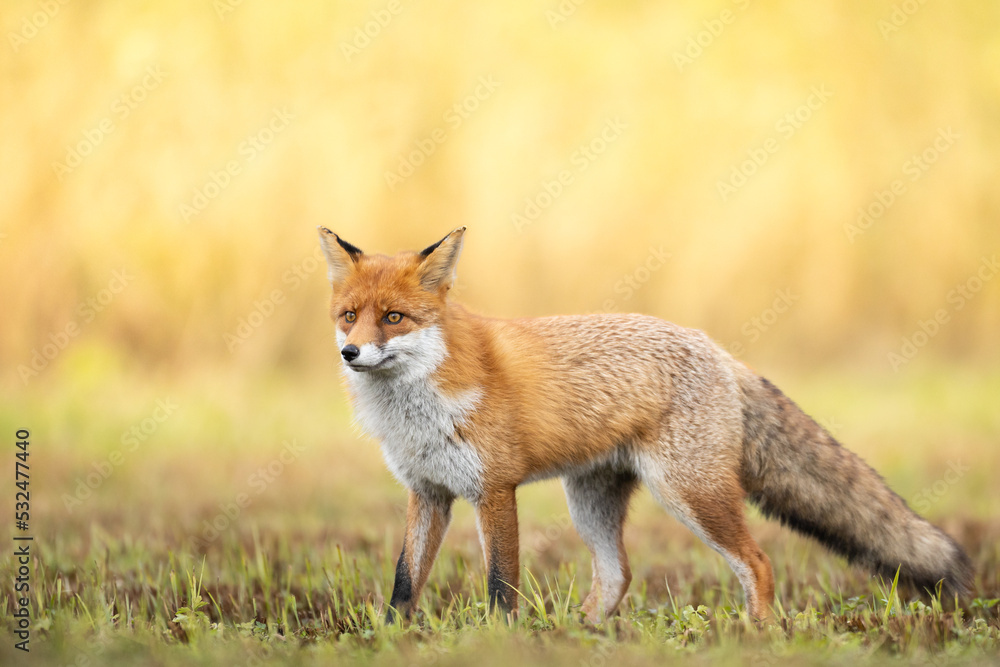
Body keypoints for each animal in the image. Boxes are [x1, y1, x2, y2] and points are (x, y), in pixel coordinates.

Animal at [318, 227, 968, 624]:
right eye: (349, 316)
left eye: (394, 319)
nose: (349, 354)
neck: (417, 407)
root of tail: (719, 351)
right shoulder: (427, 492)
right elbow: (405, 582)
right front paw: (397, 639)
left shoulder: (493, 490)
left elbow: (501, 585)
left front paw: (500, 639)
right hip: (591, 500)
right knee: (619, 574)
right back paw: (578, 636)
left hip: (690, 493)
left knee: (756, 562)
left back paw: (758, 635)